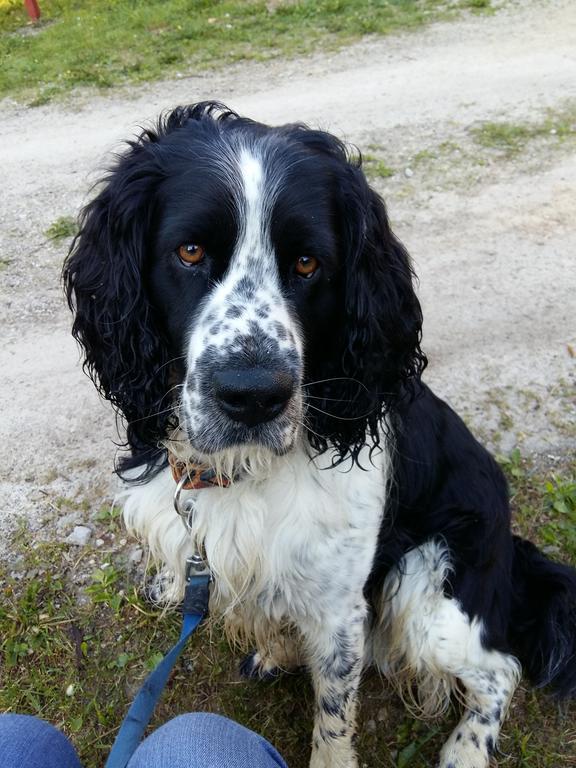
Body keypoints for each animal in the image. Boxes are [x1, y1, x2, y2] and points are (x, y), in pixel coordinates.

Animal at [64, 103, 576, 768]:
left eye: (308, 263)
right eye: (190, 250)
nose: (252, 395)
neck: (245, 469)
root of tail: (510, 547)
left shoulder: (341, 609)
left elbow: (333, 717)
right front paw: (278, 648)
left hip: (428, 589)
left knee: (499, 669)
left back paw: (464, 750)